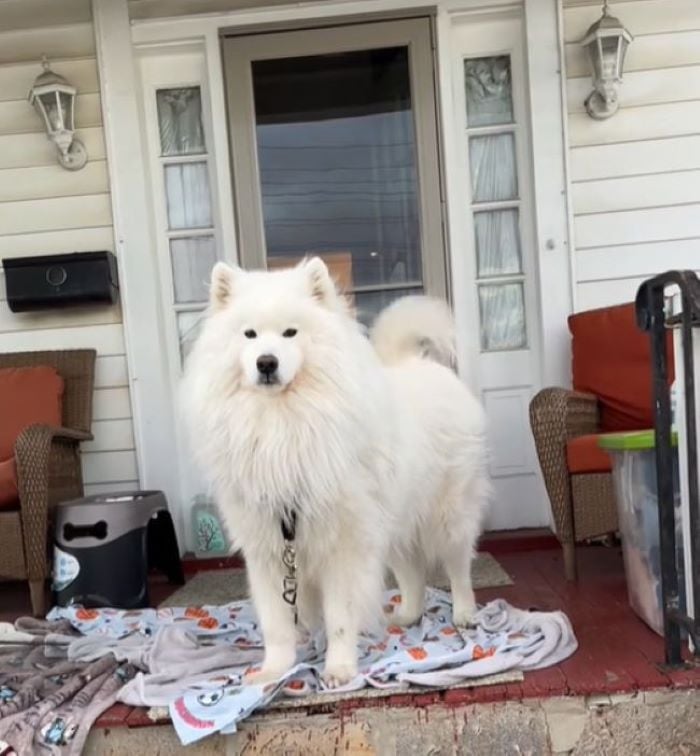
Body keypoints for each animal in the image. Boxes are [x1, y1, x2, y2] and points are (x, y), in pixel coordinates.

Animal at [180, 256, 486, 688]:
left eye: (290, 332)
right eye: (249, 334)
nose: (266, 362)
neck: (281, 424)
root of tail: (420, 364)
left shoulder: (344, 545)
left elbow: (340, 616)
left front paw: (339, 669)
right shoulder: (269, 550)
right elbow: (278, 622)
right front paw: (273, 671)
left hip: (449, 515)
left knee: (458, 567)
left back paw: (464, 614)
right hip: (392, 522)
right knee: (412, 574)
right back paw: (406, 615)